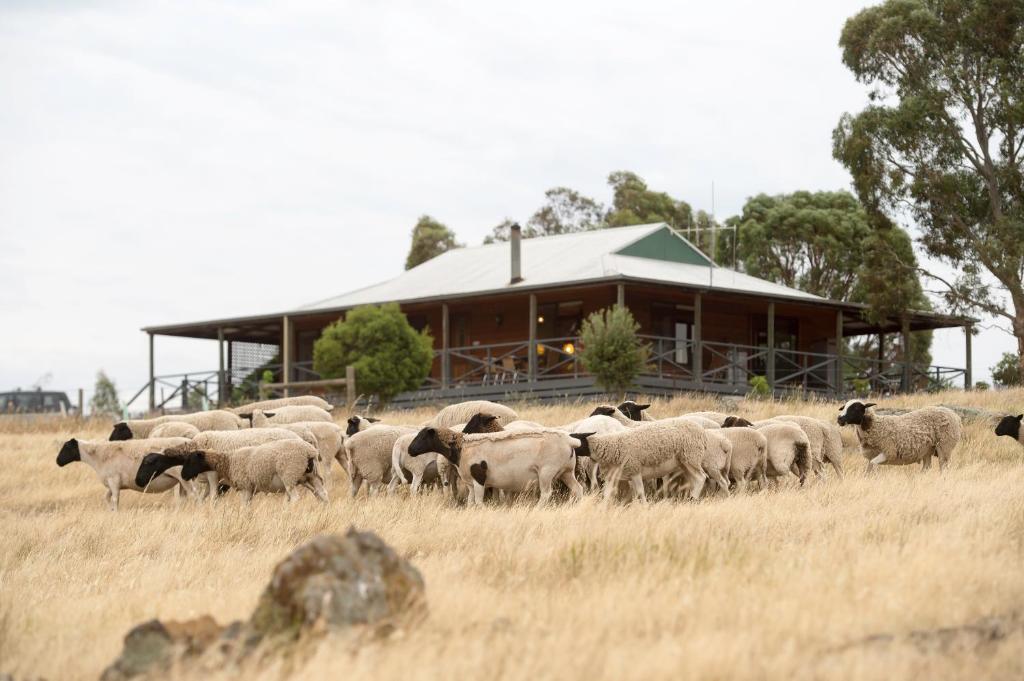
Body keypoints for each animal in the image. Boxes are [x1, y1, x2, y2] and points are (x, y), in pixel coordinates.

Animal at [138, 438, 325, 501]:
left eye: (149, 462)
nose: (138, 481)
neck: (228, 460)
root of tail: (310, 451)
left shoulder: (233, 483)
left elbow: (214, 498)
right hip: (310, 477)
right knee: (322, 494)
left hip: (290, 476)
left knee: (295, 498)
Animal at [407, 426, 585, 503]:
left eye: (422, 437)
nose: (409, 450)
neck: (461, 447)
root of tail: (570, 440)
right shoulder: (470, 482)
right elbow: (471, 501)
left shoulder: (479, 478)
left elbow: (479, 501)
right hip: (567, 472)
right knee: (578, 489)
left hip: (546, 473)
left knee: (547, 494)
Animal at [573, 417, 708, 501]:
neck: (611, 446)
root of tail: (702, 433)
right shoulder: (613, 476)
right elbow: (607, 494)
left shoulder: (635, 470)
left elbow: (640, 493)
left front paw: (644, 506)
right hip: (685, 463)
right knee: (695, 480)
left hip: (691, 457)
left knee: (701, 478)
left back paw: (693, 498)